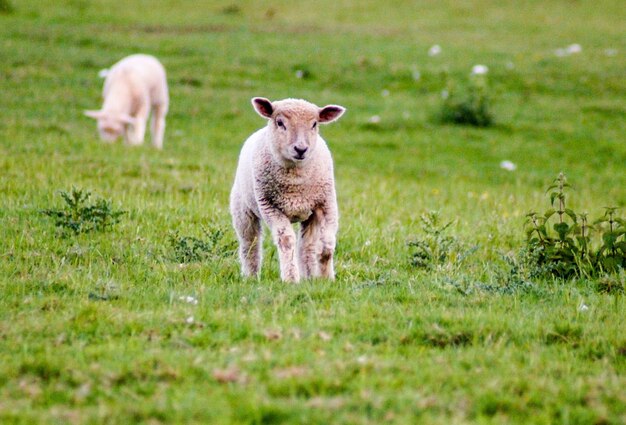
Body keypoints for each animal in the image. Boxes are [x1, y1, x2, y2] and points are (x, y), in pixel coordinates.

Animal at [230, 96, 346, 282]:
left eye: (314, 124)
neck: (295, 182)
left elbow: (327, 245)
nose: (301, 149)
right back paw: (251, 277)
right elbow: (286, 241)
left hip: (310, 215)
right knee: (250, 244)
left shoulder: (326, 204)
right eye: (280, 122)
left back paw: (310, 277)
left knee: (307, 246)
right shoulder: (270, 207)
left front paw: (327, 279)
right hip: (242, 209)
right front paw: (291, 279)